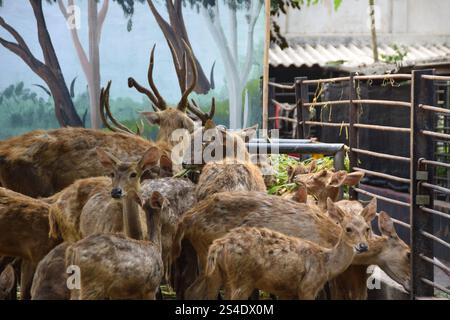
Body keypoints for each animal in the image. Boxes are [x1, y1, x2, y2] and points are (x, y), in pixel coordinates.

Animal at [204, 199, 372, 298]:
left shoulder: (288, 290)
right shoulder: (307, 286)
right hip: (243, 278)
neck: (326, 265)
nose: (363, 246)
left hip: (225, 275)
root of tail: (220, 243)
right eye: (348, 229)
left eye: (367, 228)